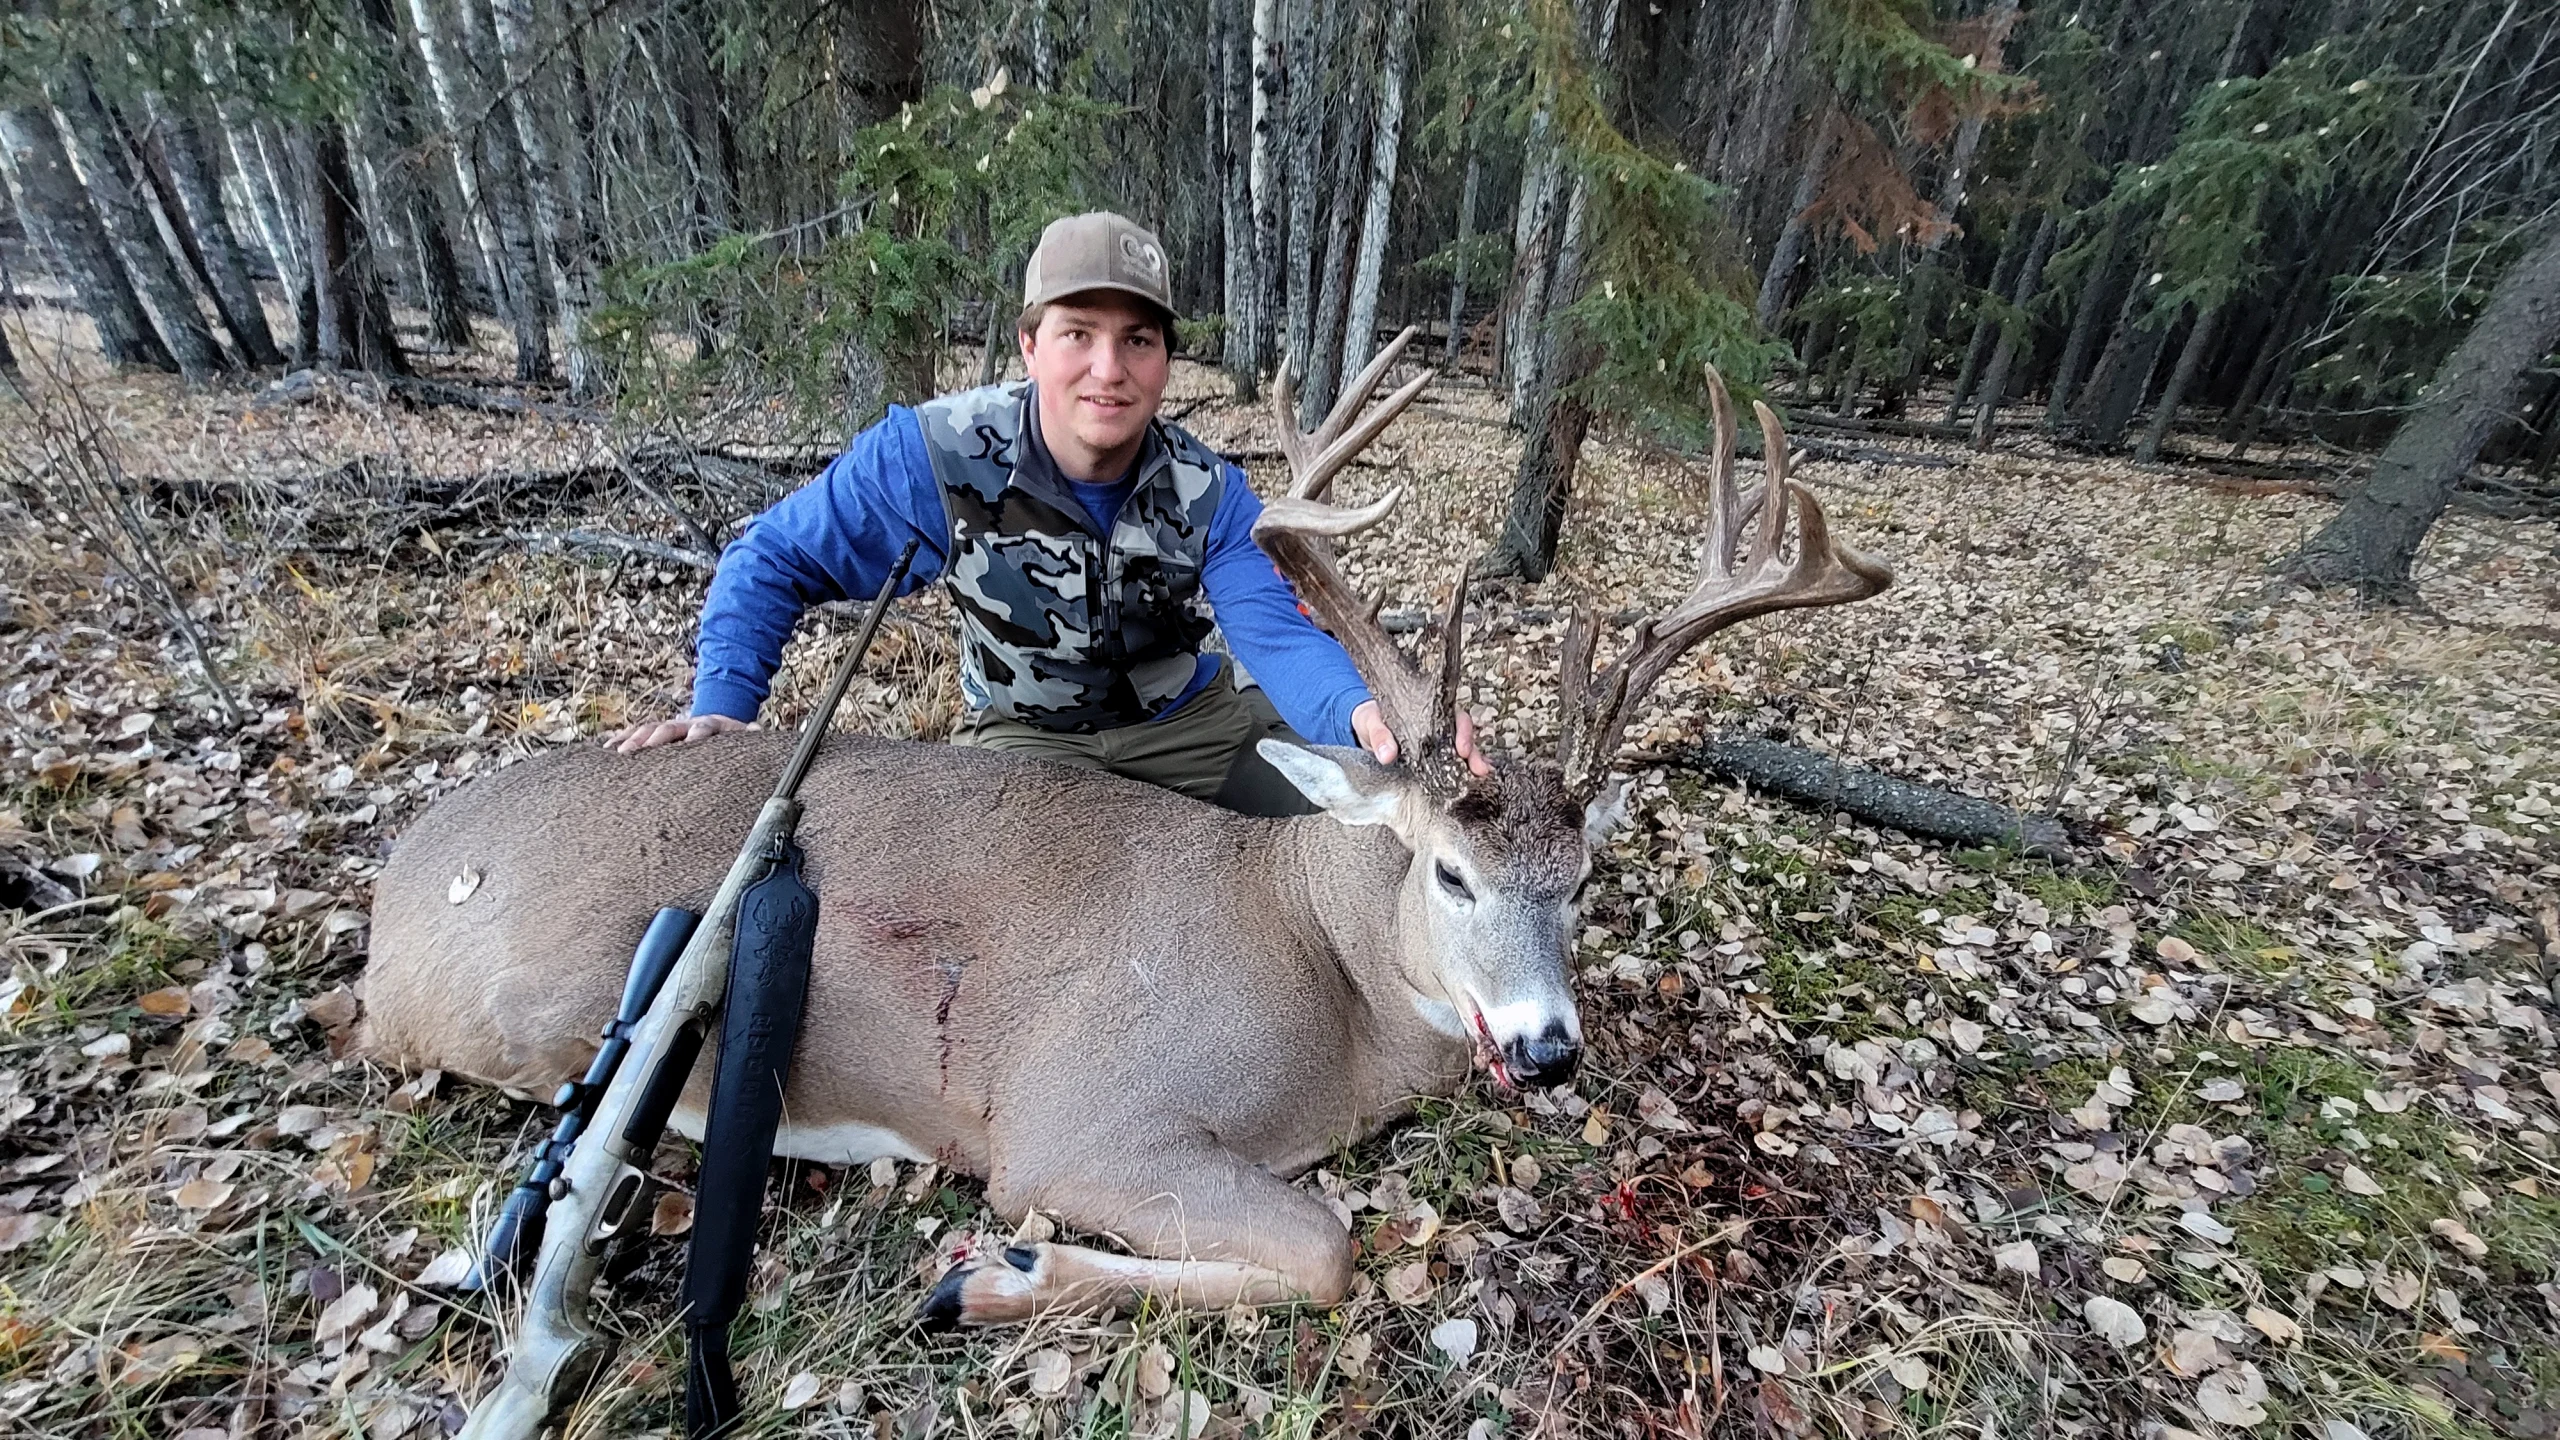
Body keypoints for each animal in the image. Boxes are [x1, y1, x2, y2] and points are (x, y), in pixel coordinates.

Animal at [361, 336, 1892, 1327]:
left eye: (1581, 878)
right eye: (1450, 872)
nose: (1548, 1047)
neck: (1324, 979)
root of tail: (387, 901)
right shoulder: (1075, 1121)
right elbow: (1325, 1249)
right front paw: (994, 1273)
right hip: (531, 1008)